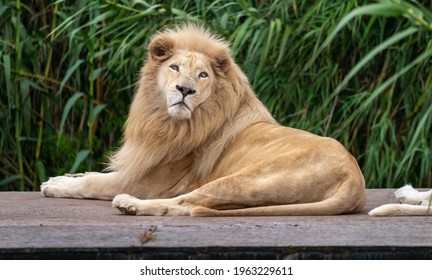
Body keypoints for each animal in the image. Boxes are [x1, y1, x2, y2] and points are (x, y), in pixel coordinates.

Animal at [40, 24, 366, 217]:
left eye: (203, 75)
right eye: (174, 67)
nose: (185, 90)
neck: (165, 121)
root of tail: (354, 180)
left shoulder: (149, 180)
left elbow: (94, 183)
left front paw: (56, 185)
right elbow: (93, 174)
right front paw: (66, 176)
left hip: (245, 179)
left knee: (184, 203)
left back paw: (129, 204)